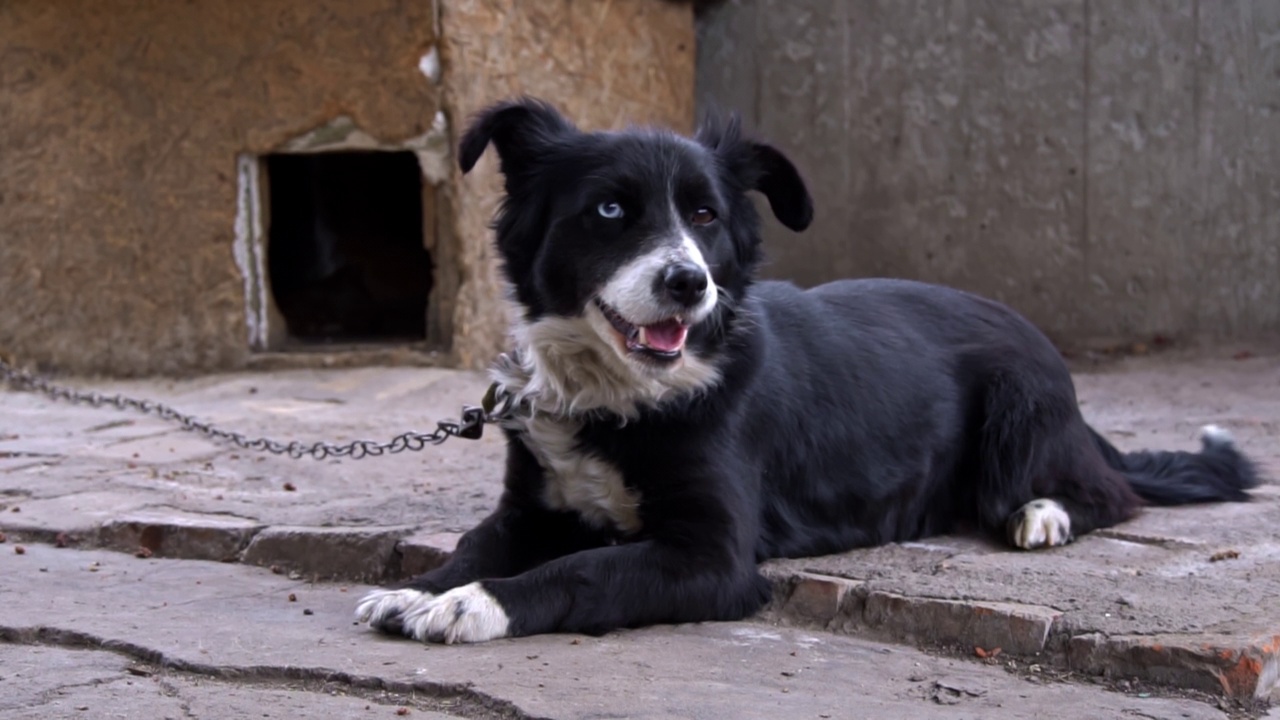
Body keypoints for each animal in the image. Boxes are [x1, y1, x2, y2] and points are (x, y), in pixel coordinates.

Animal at [358, 98, 1259, 640]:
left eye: (705, 215)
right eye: (610, 209)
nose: (689, 283)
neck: (626, 397)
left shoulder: (711, 559)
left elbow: (581, 570)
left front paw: (474, 605)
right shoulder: (529, 507)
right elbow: (479, 542)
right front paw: (425, 588)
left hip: (1021, 414)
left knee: (1112, 492)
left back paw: (1043, 513)